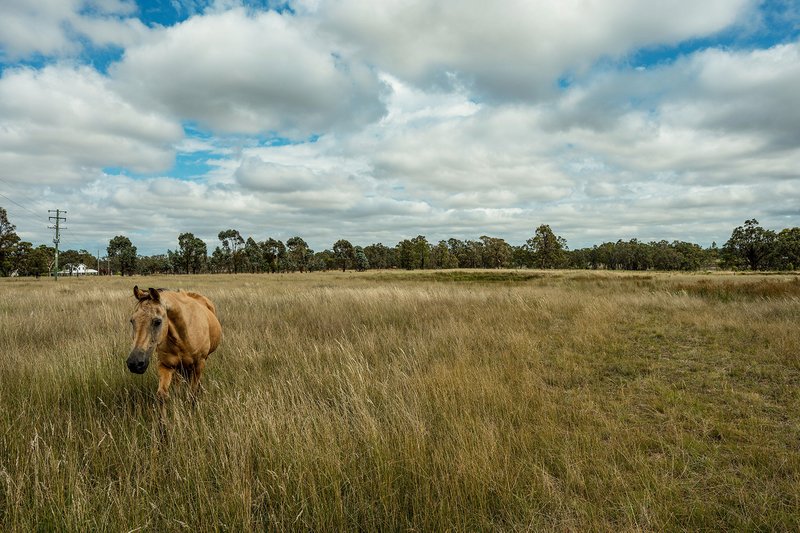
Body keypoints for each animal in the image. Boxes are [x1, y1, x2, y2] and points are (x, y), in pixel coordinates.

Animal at [129, 286, 222, 416]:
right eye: (132, 321)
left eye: (157, 321)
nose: (135, 363)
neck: (183, 336)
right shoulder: (166, 365)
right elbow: (162, 396)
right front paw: (162, 422)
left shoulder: (199, 364)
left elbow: (192, 395)